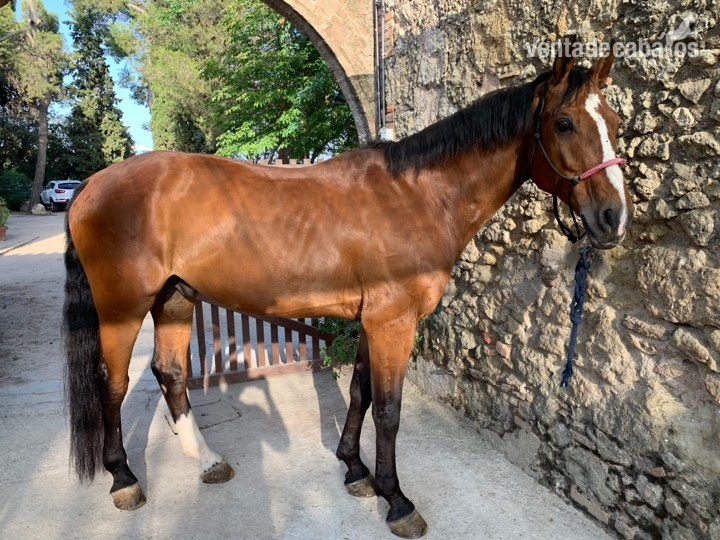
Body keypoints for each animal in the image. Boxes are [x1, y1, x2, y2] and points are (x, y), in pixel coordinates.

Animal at [63, 48, 632, 538]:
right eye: (564, 123)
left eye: (614, 122)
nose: (614, 219)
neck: (419, 196)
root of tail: (91, 184)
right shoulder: (393, 322)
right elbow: (389, 410)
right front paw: (396, 499)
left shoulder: (371, 320)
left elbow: (360, 390)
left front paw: (354, 469)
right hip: (122, 307)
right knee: (112, 383)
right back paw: (124, 480)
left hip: (176, 298)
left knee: (170, 373)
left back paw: (206, 461)